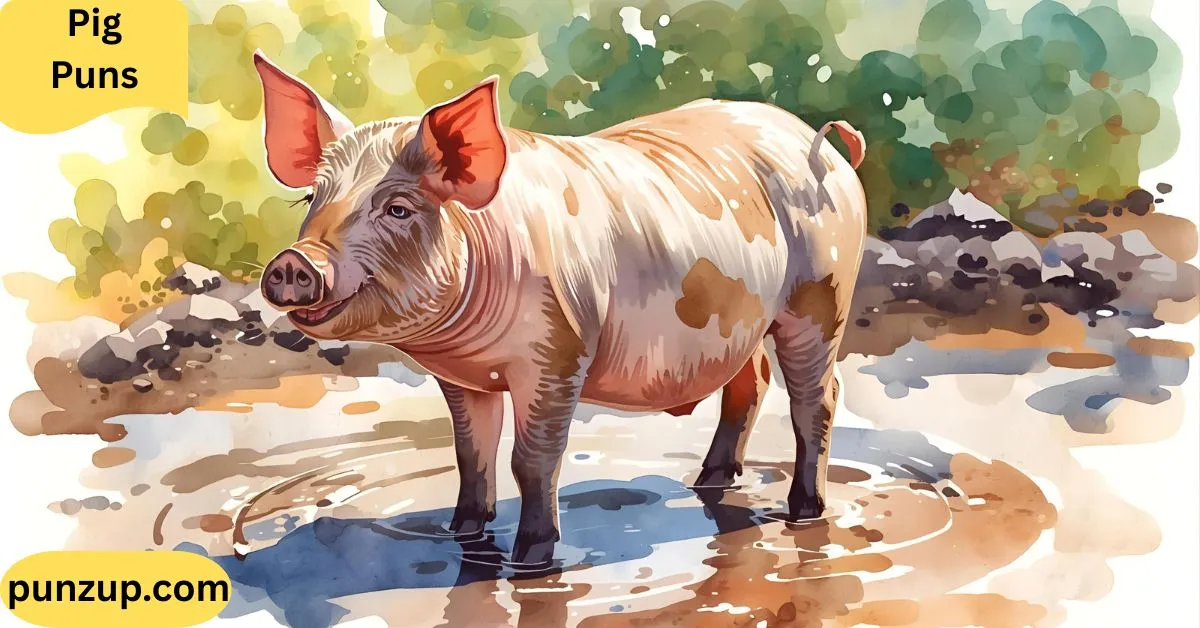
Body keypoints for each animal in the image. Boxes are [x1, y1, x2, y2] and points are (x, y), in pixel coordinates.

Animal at [253, 52, 867, 565]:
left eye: (398, 209)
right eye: (311, 199)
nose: (294, 263)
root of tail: (817, 139)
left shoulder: (558, 353)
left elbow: (533, 460)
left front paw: (531, 561)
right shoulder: (463, 377)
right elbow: (471, 454)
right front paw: (461, 532)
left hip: (822, 297)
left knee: (817, 398)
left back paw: (802, 511)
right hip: (745, 321)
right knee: (751, 383)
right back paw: (707, 483)